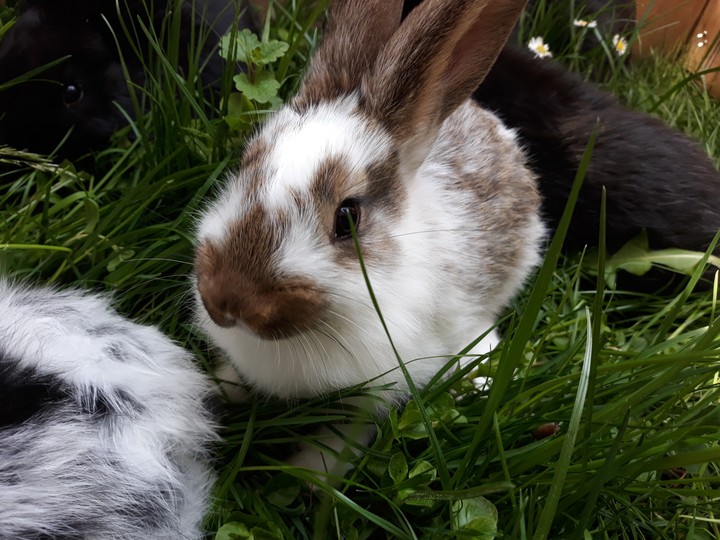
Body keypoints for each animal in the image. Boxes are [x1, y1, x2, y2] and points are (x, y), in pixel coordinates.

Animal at [193, 0, 543, 473]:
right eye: (246, 163)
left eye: (348, 218)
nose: (225, 302)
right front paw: (212, 391)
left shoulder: (381, 385)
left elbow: (346, 433)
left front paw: (311, 475)